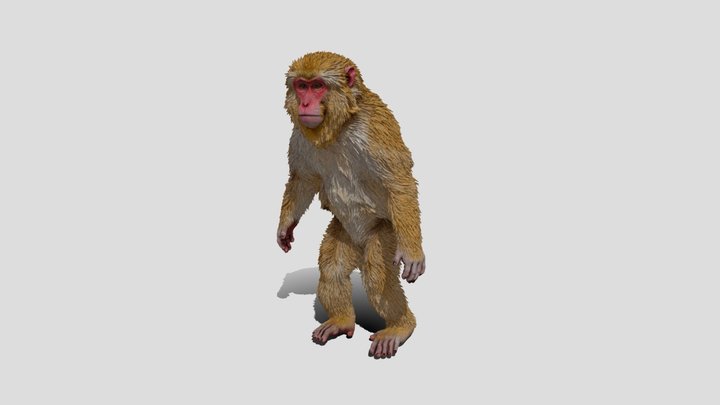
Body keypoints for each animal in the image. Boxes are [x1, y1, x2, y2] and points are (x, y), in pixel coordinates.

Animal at [276, 51, 425, 359]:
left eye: (318, 86)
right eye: (301, 86)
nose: (305, 104)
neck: (340, 125)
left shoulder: (374, 129)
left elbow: (399, 183)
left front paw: (413, 253)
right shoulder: (300, 133)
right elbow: (304, 178)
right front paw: (285, 227)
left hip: (387, 231)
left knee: (377, 272)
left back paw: (401, 326)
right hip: (343, 230)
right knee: (332, 268)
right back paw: (342, 320)